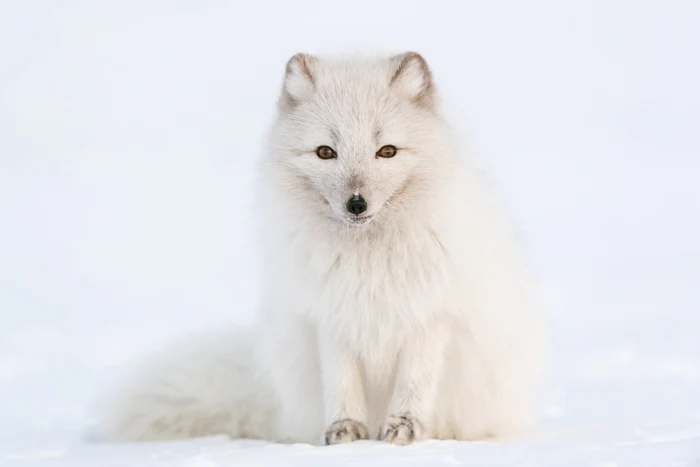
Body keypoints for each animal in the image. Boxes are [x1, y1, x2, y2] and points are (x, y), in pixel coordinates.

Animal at [92, 51, 545, 446]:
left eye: (387, 151)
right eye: (326, 152)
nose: (356, 203)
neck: (368, 260)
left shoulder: (431, 316)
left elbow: (415, 382)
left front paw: (404, 428)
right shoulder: (329, 316)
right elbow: (341, 382)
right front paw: (344, 432)